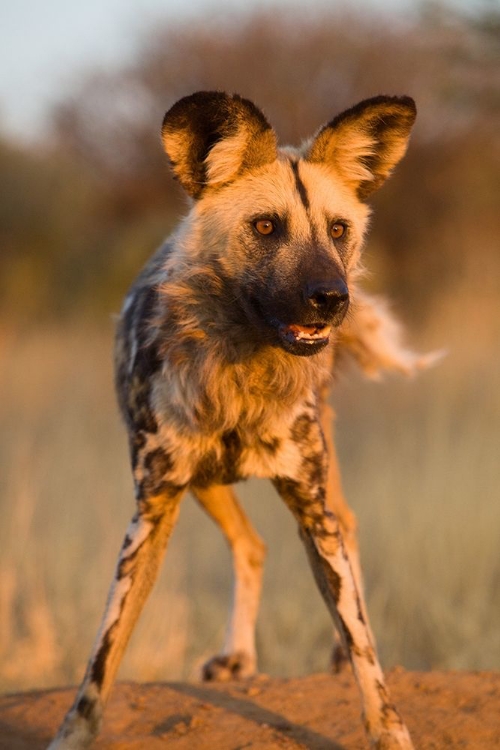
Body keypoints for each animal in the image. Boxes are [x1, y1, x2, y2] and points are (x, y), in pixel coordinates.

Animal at [49, 91, 426, 748]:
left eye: (338, 230)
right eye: (266, 227)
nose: (332, 298)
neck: (243, 374)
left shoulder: (310, 507)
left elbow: (362, 645)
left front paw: (387, 728)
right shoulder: (151, 513)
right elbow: (103, 658)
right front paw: (72, 734)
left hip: (313, 484)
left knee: (343, 530)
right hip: (201, 485)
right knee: (251, 545)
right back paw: (238, 657)